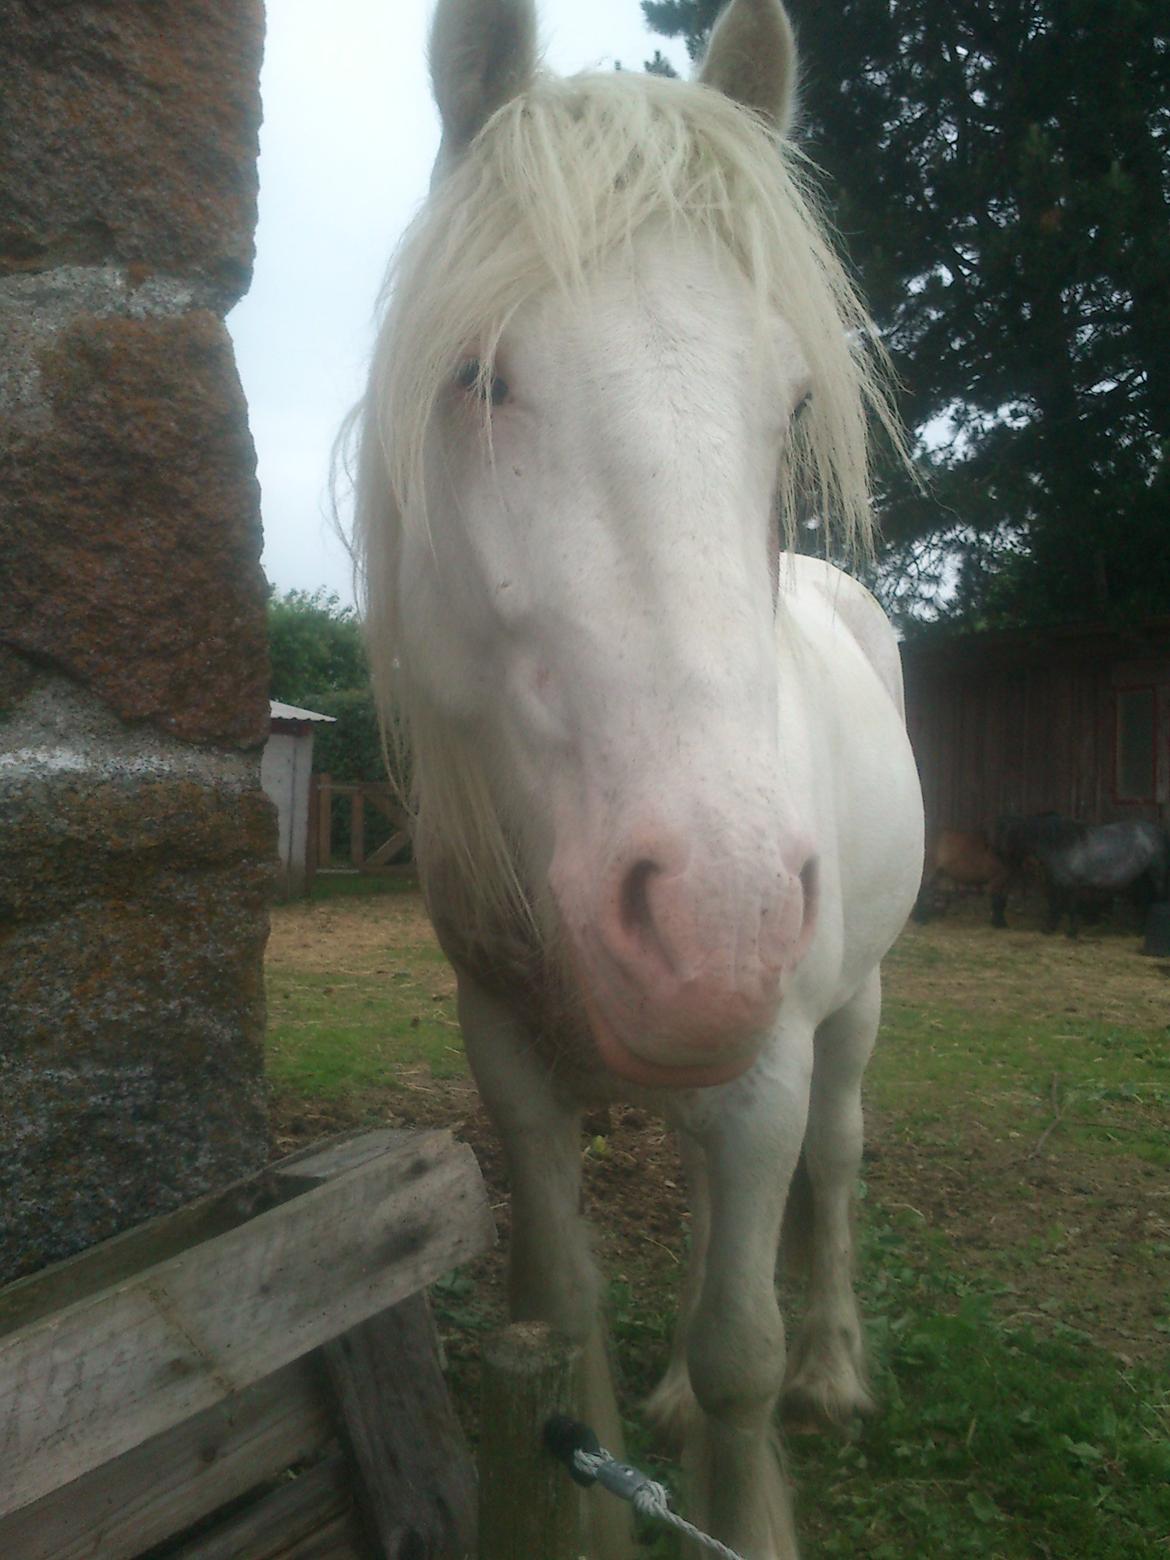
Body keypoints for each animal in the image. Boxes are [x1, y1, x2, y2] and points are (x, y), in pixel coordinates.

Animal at [352, 6, 923, 1553]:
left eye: (792, 401)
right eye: (477, 374)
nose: (720, 918)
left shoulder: (770, 1056)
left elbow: (744, 1358)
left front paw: (755, 1480)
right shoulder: (509, 1056)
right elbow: (571, 1311)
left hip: (844, 1012)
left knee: (833, 1169)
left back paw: (838, 1368)